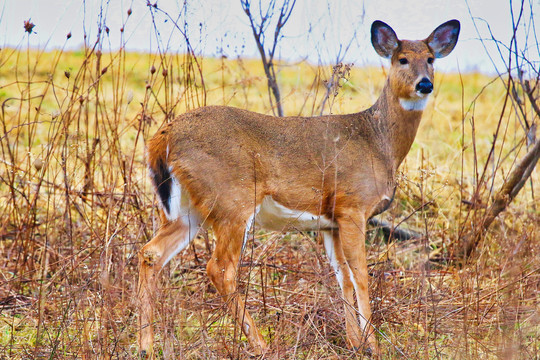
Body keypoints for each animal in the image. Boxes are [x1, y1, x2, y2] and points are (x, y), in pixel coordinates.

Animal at [138, 19, 460, 358]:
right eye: (402, 59)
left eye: (431, 59)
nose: (425, 84)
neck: (379, 143)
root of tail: (162, 137)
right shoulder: (353, 205)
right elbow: (360, 274)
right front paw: (372, 345)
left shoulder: (331, 221)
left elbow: (342, 276)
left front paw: (354, 342)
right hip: (232, 200)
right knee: (220, 269)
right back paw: (260, 344)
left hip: (188, 210)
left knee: (151, 253)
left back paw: (146, 344)